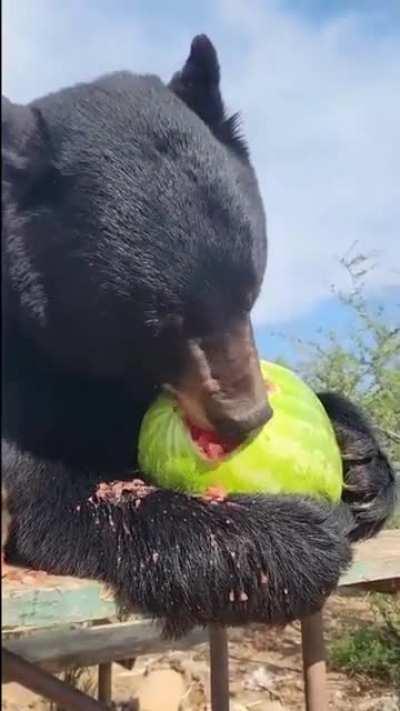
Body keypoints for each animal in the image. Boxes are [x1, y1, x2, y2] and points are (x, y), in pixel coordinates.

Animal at [2, 35, 395, 637]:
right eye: (154, 323)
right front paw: (297, 537)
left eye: (249, 292)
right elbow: (56, 493)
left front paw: (363, 462)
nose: (246, 418)